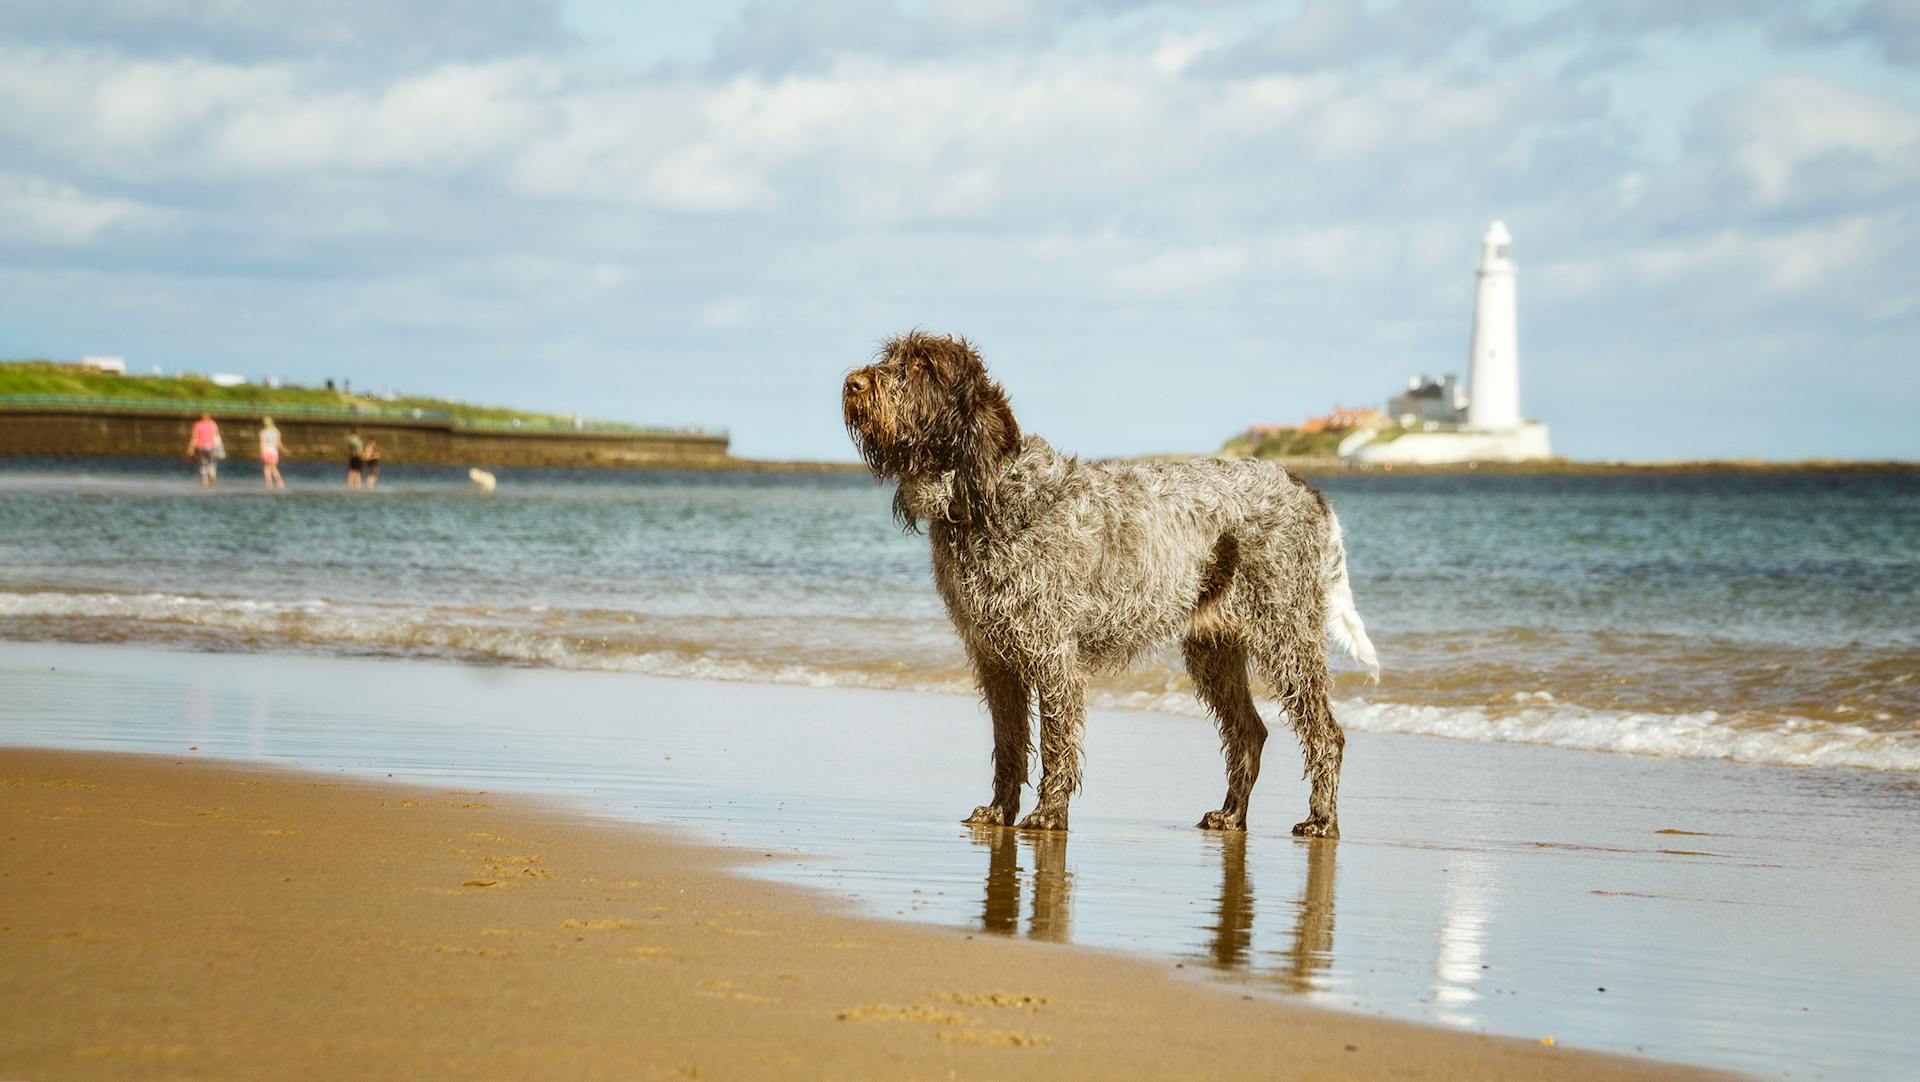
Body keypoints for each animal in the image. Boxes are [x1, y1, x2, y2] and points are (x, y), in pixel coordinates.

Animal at [844, 329, 1382, 836]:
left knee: (1326, 735)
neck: (990, 496)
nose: (853, 383)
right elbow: (1009, 744)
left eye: (923, 365)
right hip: (1215, 650)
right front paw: (1000, 811)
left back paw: (1321, 820)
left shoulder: (1051, 655)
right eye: (891, 356)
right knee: (1249, 732)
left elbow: (1057, 743)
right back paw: (1231, 816)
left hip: (1286, 639)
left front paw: (1048, 813)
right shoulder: (996, 659)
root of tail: (1306, 490)